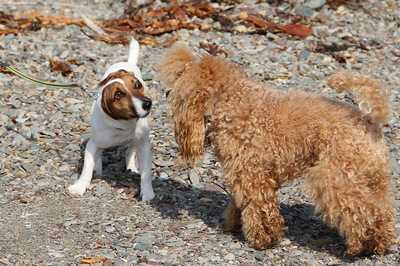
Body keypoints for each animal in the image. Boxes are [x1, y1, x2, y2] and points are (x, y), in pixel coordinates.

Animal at [67, 38, 155, 201]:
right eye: (118, 95)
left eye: (137, 84)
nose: (147, 103)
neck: (123, 124)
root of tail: (127, 63)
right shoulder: (93, 144)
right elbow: (87, 168)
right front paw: (79, 186)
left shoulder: (144, 145)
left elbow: (146, 174)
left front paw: (147, 193)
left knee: (130, 150)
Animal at [159, 43, 396, 256]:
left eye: (179, 77)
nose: (165, 93)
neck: (231, 102)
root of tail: (369, 120)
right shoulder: (245, 174)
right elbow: (240, 203)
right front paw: (233, 225)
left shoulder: (252, 174)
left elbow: (259, 209)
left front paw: (262, 239)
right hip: (370, 179)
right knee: (382, 211)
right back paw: (379, 243)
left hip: (335, 177)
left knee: (363, 212)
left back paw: (361, 246)